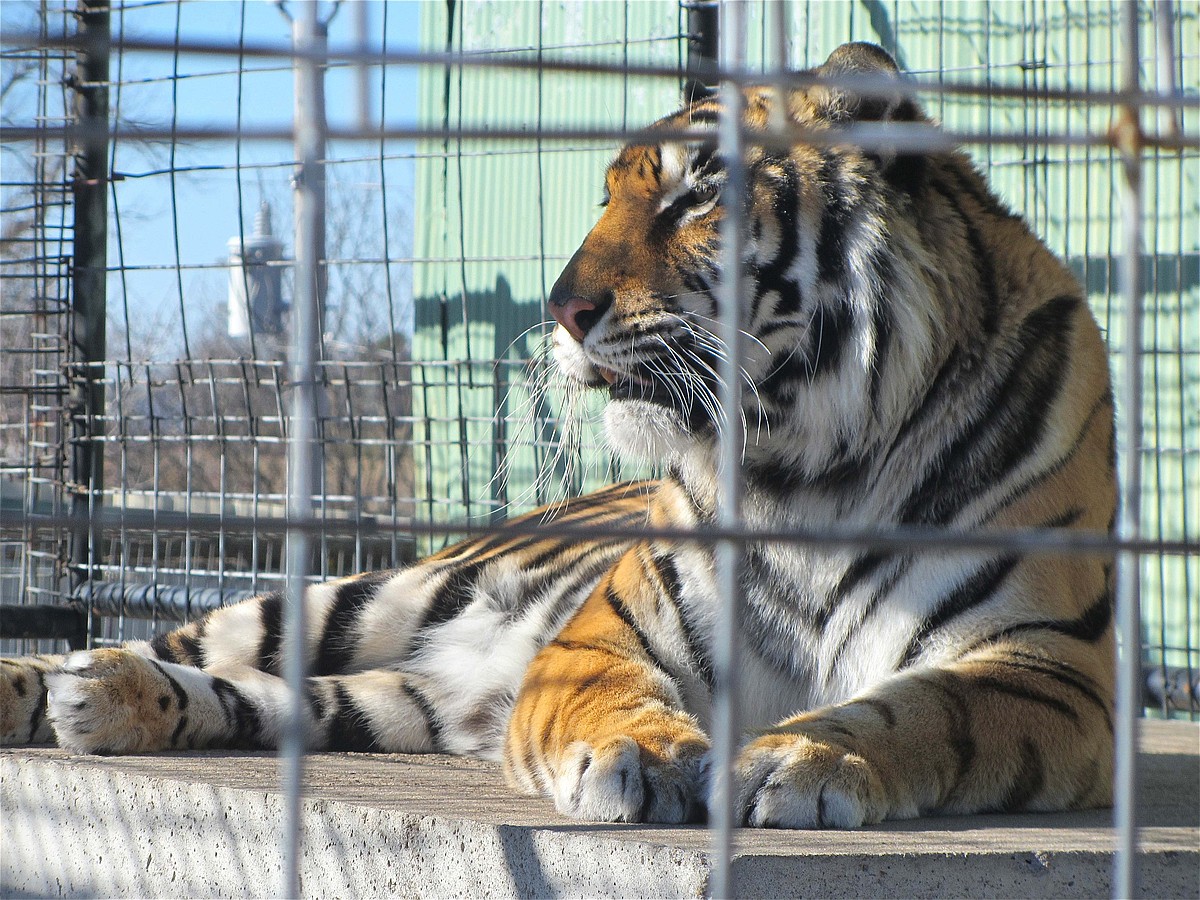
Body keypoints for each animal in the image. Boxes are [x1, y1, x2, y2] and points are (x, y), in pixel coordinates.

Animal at [1, 42, 1116, 829]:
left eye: (700, 192)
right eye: (610, 193)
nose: (560, 309)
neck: (810, 464)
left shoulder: (1046, 666)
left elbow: (922, 709)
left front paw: (806, 757)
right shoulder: (603, 635)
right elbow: (611, 694)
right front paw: (646, 756)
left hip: (397, 700)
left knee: (270, 699)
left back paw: (103, 700)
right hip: (363, 597)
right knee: (199, 643)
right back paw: (57, 683)